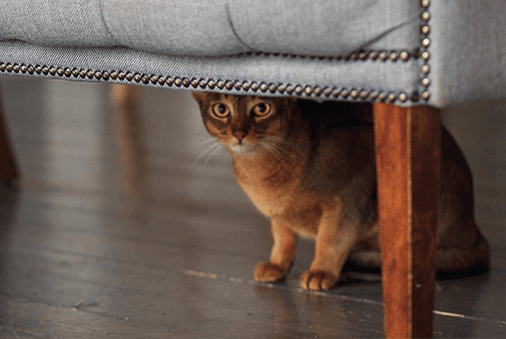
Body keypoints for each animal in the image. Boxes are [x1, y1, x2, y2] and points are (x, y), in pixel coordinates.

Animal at [192, 93, 488, 292]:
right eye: (221, 109)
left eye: (262, 108)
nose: (239, 133)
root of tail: (477, 233)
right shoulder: (279, 214)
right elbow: (283, 238)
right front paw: (277, 266)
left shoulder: (349, 199)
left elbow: (330, 240)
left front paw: (321, 271)